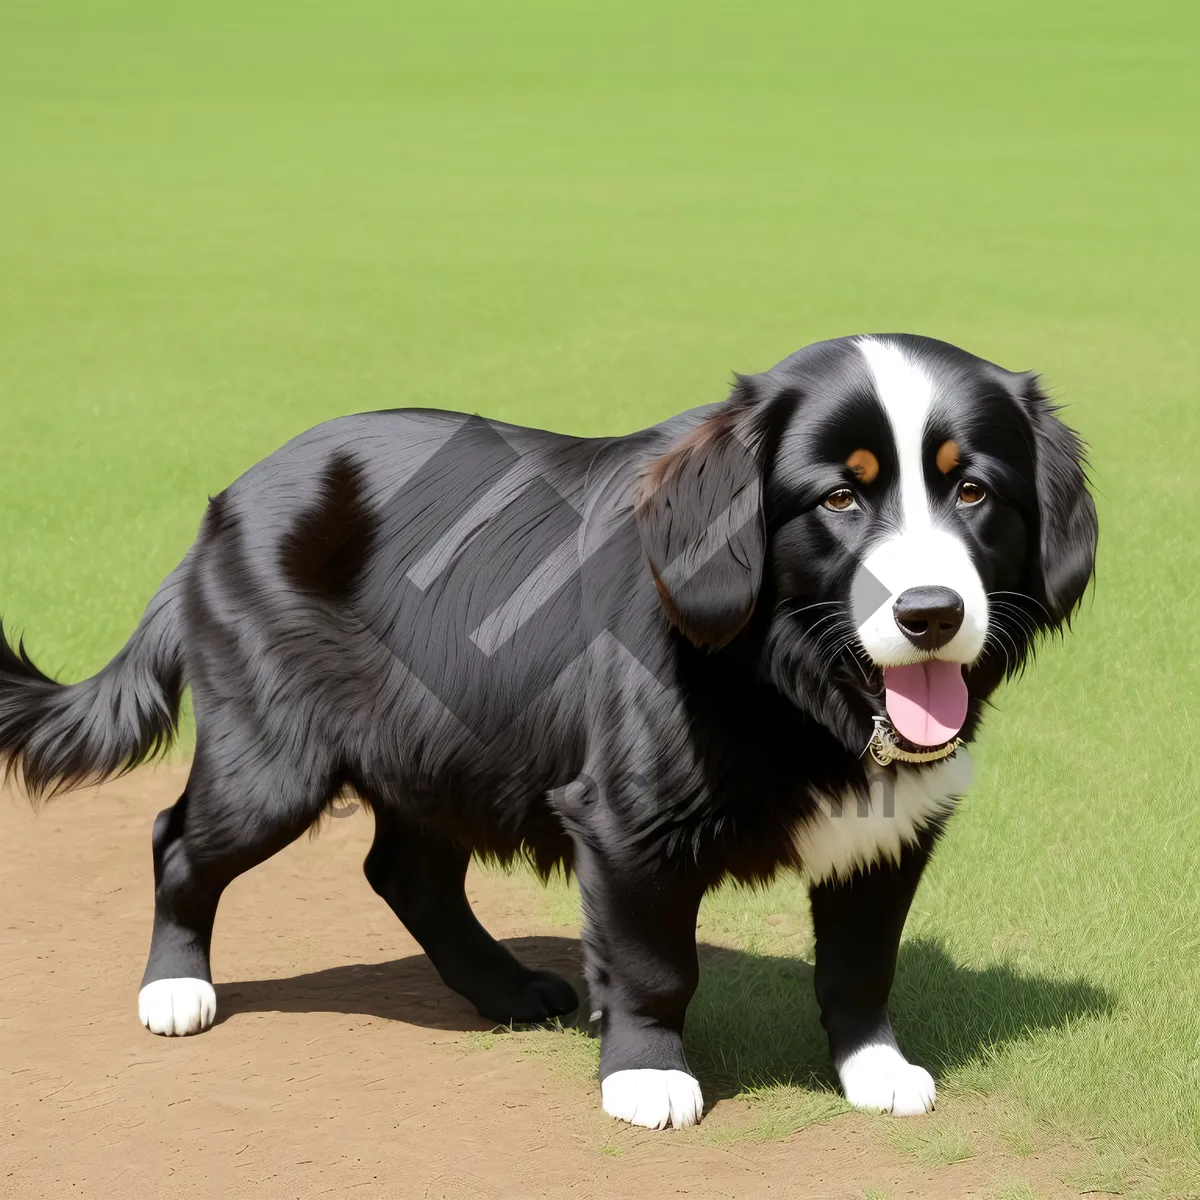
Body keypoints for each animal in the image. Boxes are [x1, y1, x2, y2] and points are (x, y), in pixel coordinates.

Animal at [0, 333, 1094, 1128]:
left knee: (408, 872)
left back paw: (500, 987)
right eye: (839, 496)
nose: (931, 614)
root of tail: (227, 502)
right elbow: (655, 962)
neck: (791, 680)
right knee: (180, 839)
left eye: (971, 489)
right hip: (276, 756)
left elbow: (862, 963)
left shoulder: (892, 825)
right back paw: (174, 988)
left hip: (442, 742)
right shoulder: (625, 820)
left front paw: (874, 1069)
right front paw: (648, 1077)